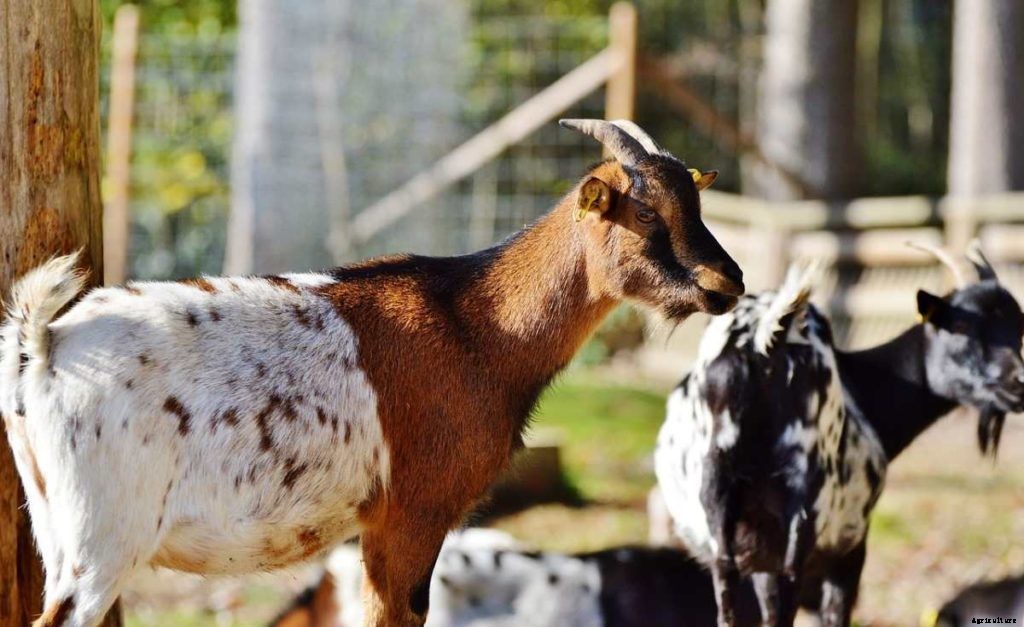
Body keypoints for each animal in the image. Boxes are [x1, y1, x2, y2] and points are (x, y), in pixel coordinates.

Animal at [0, 119, 744, 627]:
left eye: (697, 205)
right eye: (643, 210)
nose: (727, 282)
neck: (474, 324)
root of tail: (46, 341)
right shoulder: (412, 511)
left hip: (56, 527)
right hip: (103, 537)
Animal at [654, 241, 1024, 627]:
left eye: (1019, 328)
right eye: (961, 324)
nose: (1018, 385)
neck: (862, 391)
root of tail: (764, 341)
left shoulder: (759, 554)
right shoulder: (849, 547)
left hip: (718, 499)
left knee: (728, 588)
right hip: (805, 502)